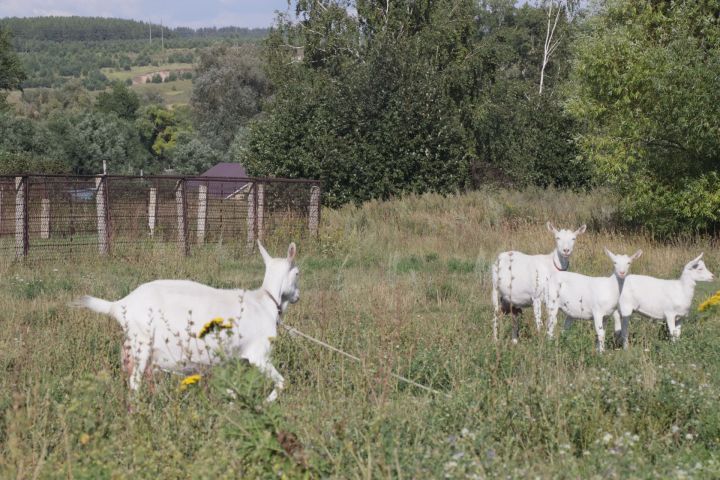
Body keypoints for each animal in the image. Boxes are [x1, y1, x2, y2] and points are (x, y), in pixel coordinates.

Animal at [73, 240, 298, 402]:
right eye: (298, 273)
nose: (297, 297)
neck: (265, 302)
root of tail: (119, 305)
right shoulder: (259, 354)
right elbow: (282, 383)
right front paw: (265, 403)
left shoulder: (233, 358)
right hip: (141, 343)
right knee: (135, 381)